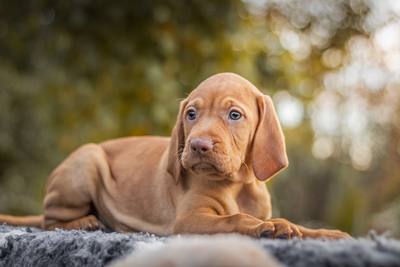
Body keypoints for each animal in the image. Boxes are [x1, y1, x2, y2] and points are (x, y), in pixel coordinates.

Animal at [0, 73, 350, 241]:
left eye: (235, 115)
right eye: (191, 114)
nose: (198, 146)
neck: (236, 184)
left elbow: (295, 224)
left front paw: (322, 233)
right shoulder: (189, 220)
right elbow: (236, 219)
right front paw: (269, 227)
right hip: (88, 159)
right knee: (49, 220)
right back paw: (84, 221)